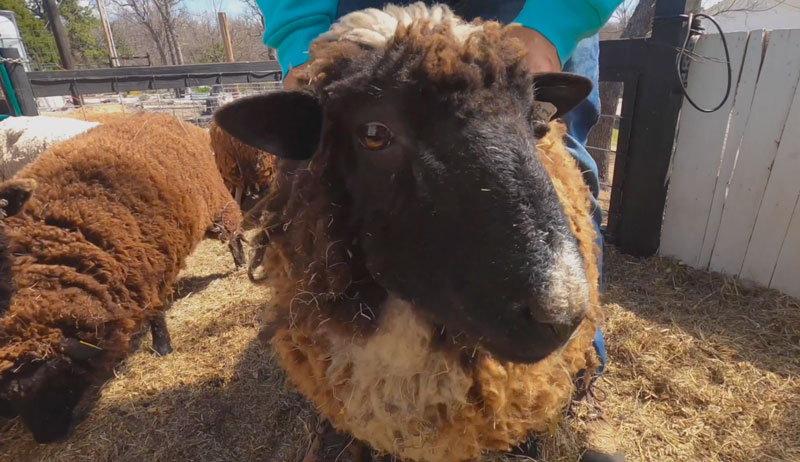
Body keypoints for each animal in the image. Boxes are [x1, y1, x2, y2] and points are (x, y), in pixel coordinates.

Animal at [0, 113, 246, 444]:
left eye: (58, 379)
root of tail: (165, 116)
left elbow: (156, 312)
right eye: (10, 398)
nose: (46, 439)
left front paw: (163, 348)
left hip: (217, 204)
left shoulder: (147, 268)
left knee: (234, 233)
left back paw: (241, 261)